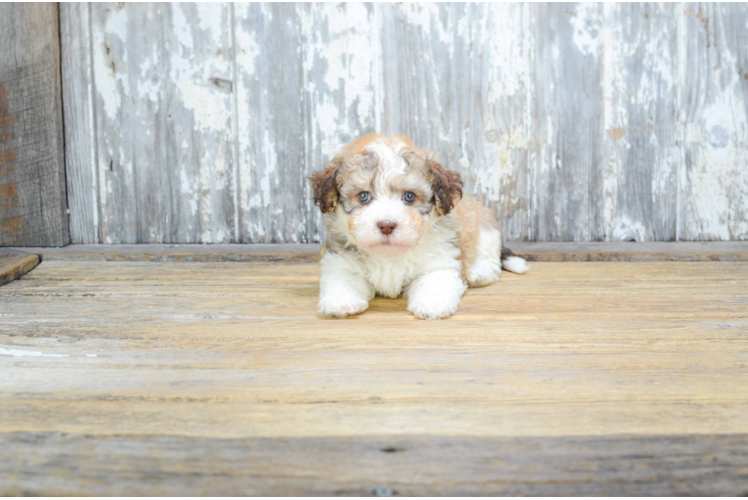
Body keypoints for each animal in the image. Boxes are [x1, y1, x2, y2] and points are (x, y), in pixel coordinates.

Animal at [310, 134, 524, 320]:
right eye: (363, 196)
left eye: (409, 196)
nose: (386, 225)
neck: (389, 254)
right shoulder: (339, 261)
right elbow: (342, 278)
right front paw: (341, 302)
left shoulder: (440, 260)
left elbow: (435, 279)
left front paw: (433, 304)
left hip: (484, 228)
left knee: (489, 257)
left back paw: (479, 272)